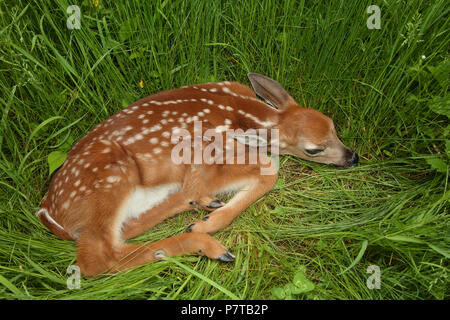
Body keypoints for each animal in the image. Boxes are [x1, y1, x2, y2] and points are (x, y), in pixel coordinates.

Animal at [36, 74, 358, 276]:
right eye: (314, 149)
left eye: (333, 125)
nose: (352, 157)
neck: (242, 113)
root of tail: (47, 212)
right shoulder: (205, 149)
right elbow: (269, 169)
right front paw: (207, 223)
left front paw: (207, 211)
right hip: (110, 178)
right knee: (97, 260)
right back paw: (207, 243)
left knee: (121, 235)